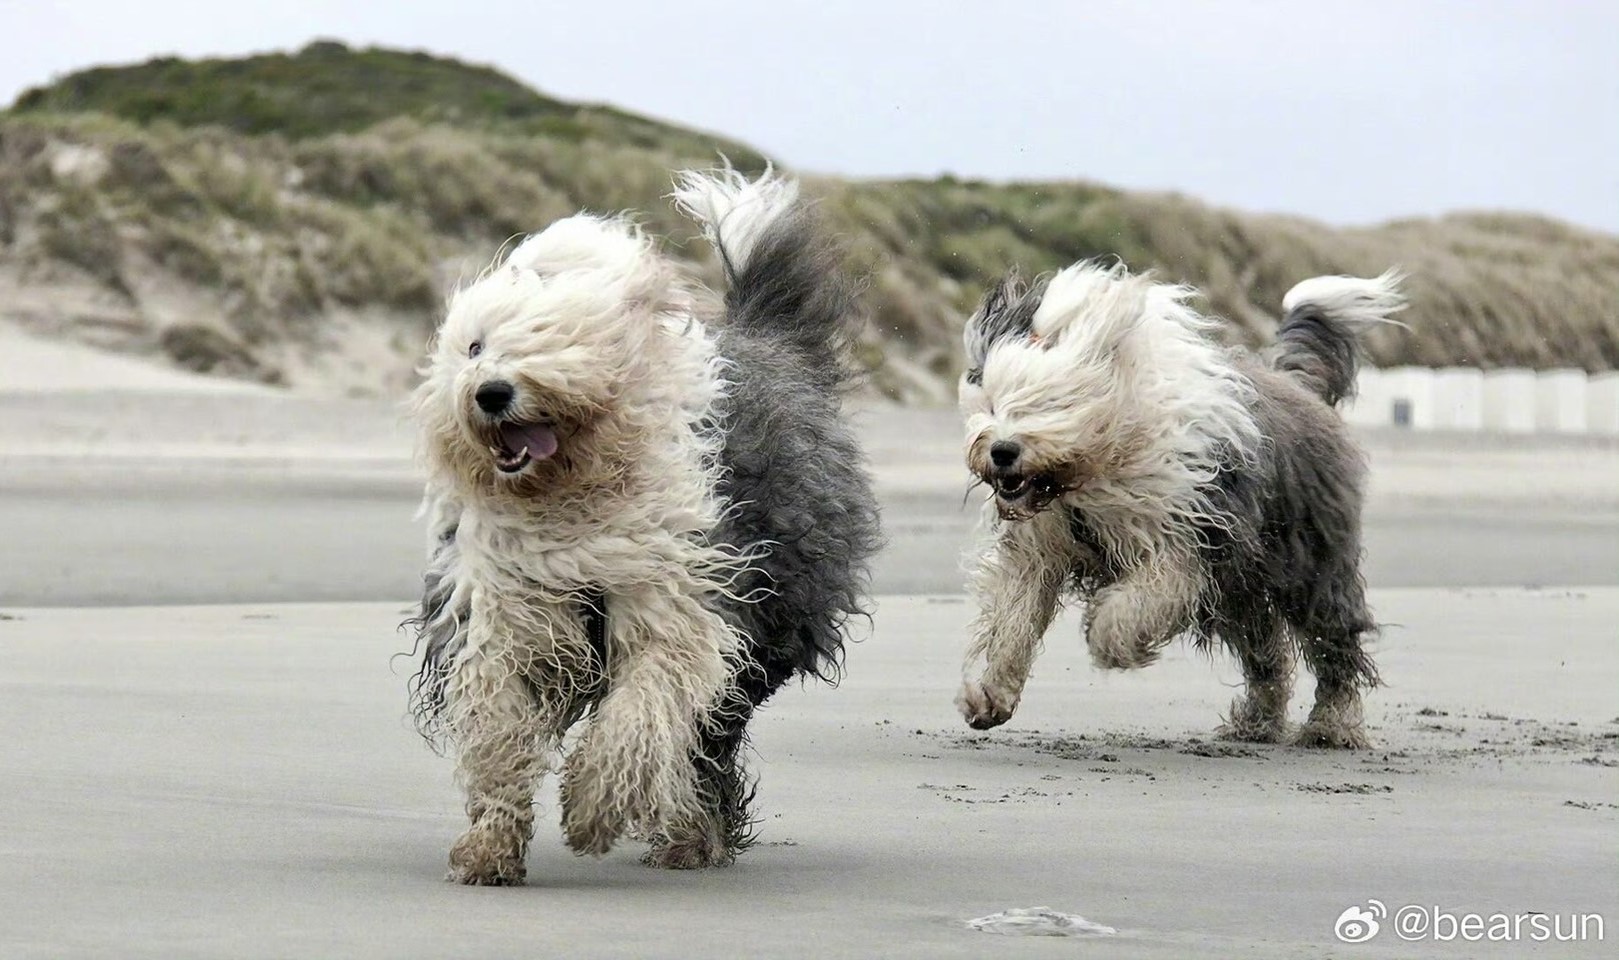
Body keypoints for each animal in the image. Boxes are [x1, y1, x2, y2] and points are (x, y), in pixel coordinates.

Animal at [411, 166, 880, 880]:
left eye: (553, 338)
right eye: (474, 346)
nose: (489, 392)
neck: (570, 498)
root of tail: (766, 336)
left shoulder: (680, 602)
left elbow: (640, 713)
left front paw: (591, 807)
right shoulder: (504, 613)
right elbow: (500, 731)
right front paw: (489, 847)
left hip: (770, 624)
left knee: (708, 737)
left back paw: (692, 835)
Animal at [958, 260, 1405, 747]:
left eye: (1051, 403)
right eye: (992, 402)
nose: (1001, 451)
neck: (1094, 470)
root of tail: (1292, 381)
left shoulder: (1188, 535)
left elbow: (1147, 595)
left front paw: (1111, 640)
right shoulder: (1039, 546)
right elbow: (1014, 616)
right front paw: (990, 693)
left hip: (1309, 561)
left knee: (1333, 643)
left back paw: (1330, 725)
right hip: (1243, 585)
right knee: (1265, 651)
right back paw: (1258, 722)